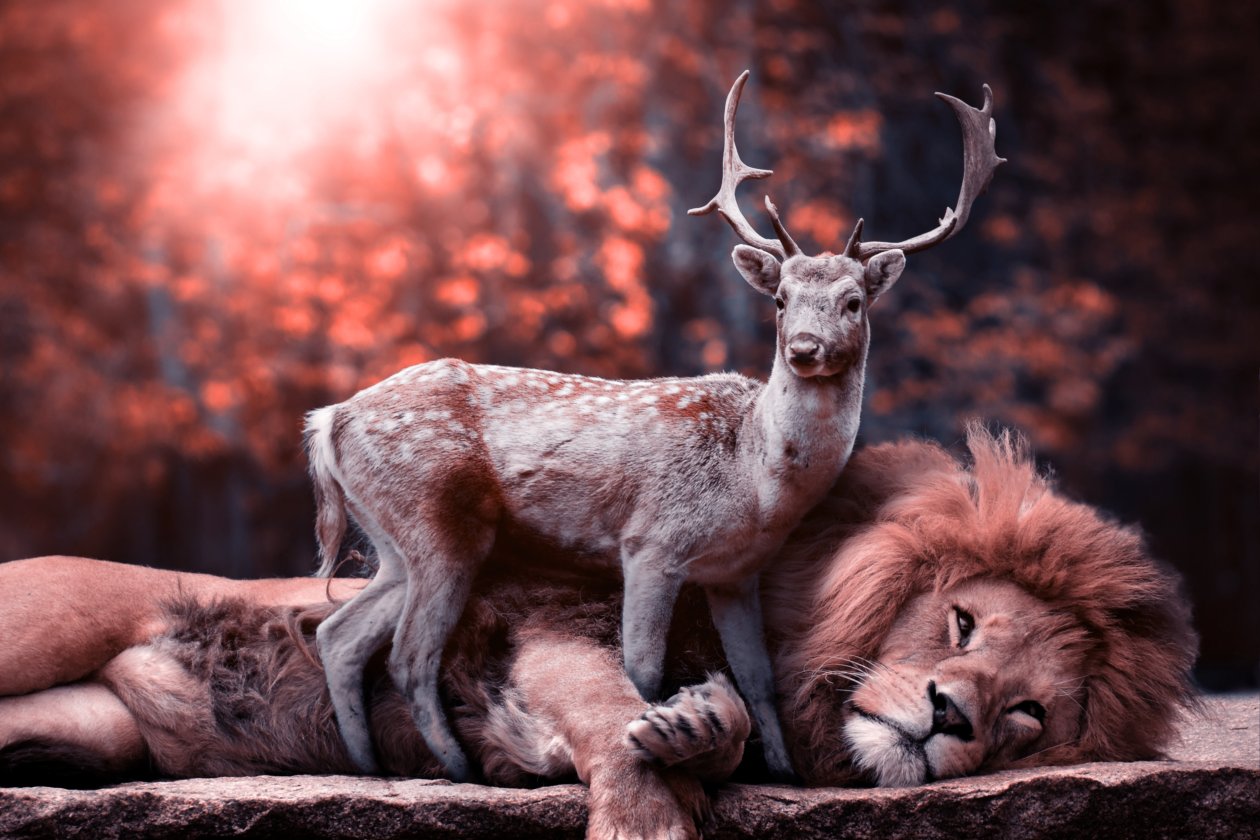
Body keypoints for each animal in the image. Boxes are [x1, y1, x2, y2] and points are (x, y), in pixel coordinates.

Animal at [0, 428, 1198, 838]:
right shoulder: (552, 624)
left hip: (102, 728)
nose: (951, 714)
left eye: (1028, 715)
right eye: (960, 620)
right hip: (39, 622)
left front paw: (700, 724)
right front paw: (647, 807)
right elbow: (614, 720)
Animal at [304, 71, 1004, 783]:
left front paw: (781, 770)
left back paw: (368, 764)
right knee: (408, 655)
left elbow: (759, 678)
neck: (755, 481)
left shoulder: (736, 571)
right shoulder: (651, 541)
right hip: (438, 521)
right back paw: (458, 766)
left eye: (854, 301)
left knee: (339, 635)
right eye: (781, 300)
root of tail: (328, 420)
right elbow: (642, 668)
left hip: (395, 540)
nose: (804, 349)